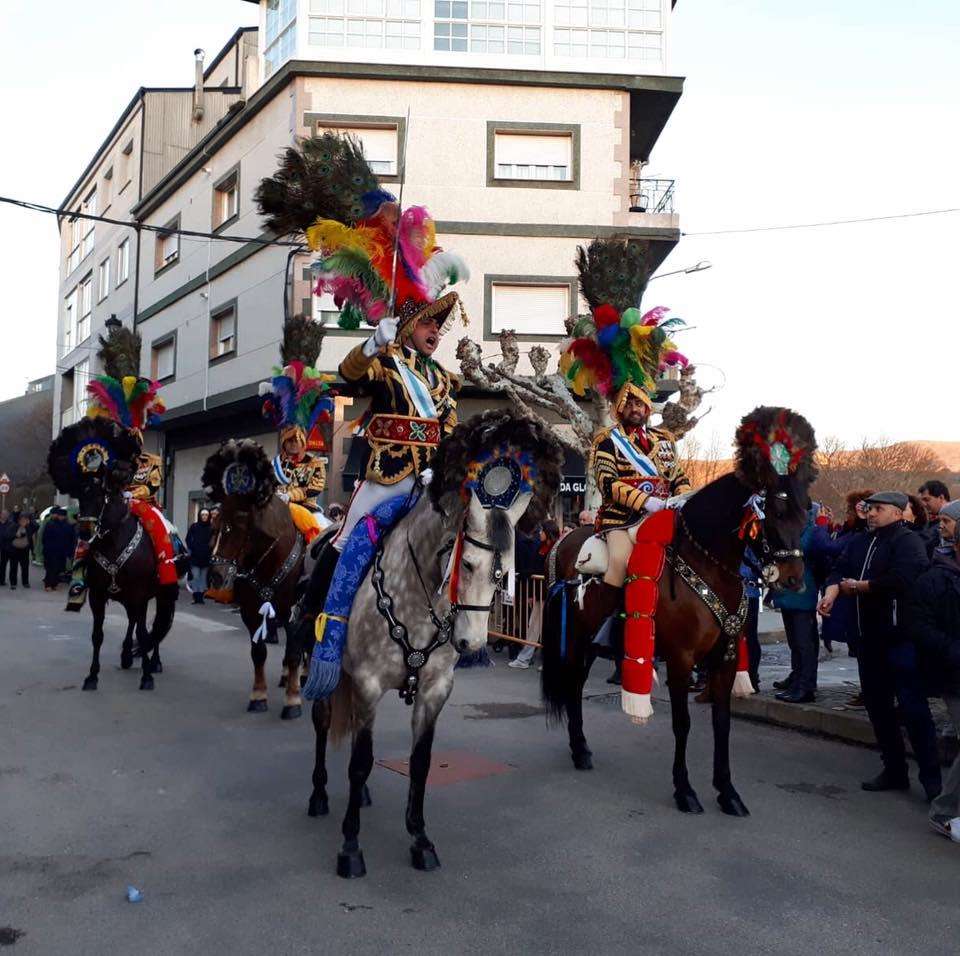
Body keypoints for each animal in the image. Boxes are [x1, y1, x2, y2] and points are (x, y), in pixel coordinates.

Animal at [48, 422, 178, 692]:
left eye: (101, 496)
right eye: (80, 496)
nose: (85, 531)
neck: (114, 541)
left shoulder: (140, 594)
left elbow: (144, 632)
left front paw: (146, 676)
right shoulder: (98, 595)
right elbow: (98, 635)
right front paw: (91, 676)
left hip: (162, 593)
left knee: (158, 625)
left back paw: (154, 662)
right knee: (134, 621)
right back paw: (127, 655)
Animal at [202, 440, 308, 716]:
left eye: (236, 527)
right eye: (214, 527)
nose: (215, 576)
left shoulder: (295, 610)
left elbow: (295, 650)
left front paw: (293, 700)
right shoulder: (250, 608)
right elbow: (258, 652)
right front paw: (258, 696)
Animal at [544, 408, 812, 816]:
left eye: (806, 513)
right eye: (776, 511)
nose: (794, 579)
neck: (709, 566)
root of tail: (564, 539)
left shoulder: (724, 658)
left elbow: (721, 722)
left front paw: (727, 792)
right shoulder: (681, 659)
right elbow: (683, 723)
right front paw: (685, 790)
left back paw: (582, 748)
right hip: (576, 638)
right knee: (573, 683)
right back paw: (579, 750)